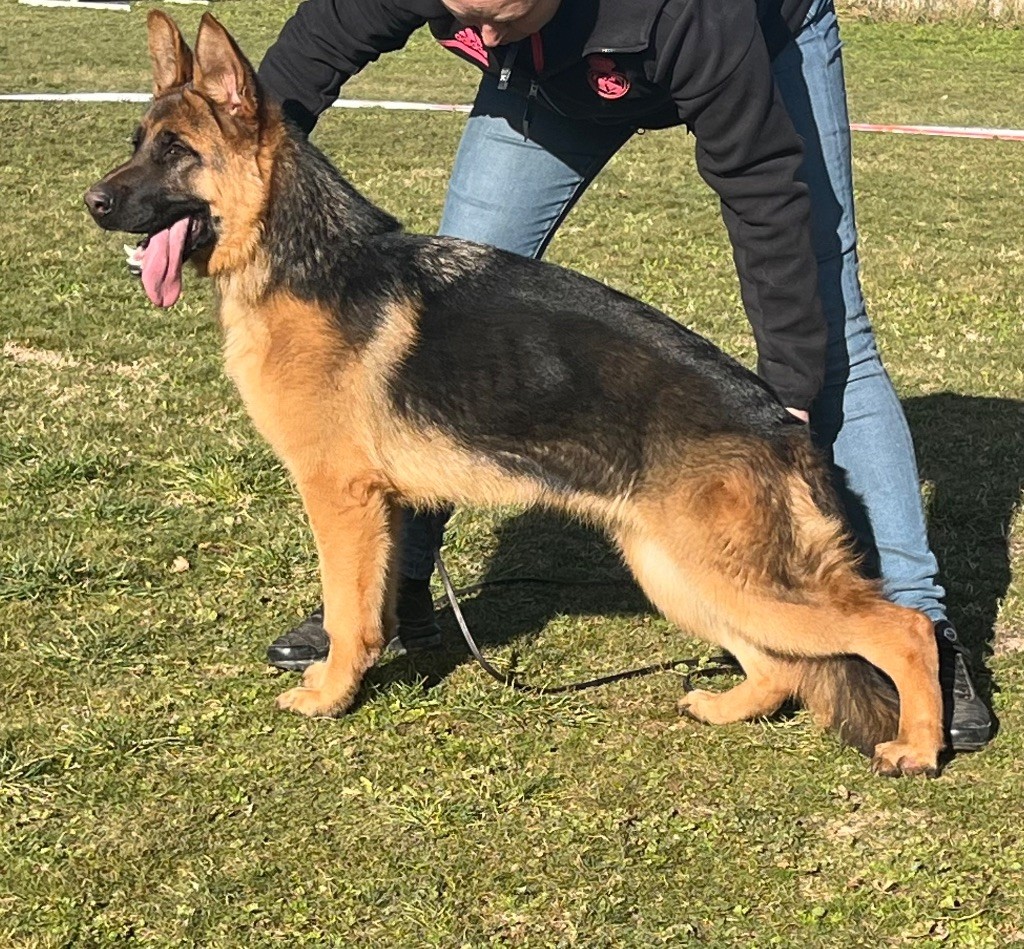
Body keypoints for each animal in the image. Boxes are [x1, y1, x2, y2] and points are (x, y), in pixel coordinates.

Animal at [88, 11, 942, 773]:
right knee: (779, 668)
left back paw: (920, 744)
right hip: (676, 571)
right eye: (136, 145)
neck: (300, 256)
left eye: (177, 152)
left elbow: (349, 610)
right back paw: (727, 705)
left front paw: (331, 693)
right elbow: (374, 600)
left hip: (727, 576)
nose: (93, 202)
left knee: (900, 628)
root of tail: (782, 425)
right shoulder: (380, 506)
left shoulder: (341, 497)